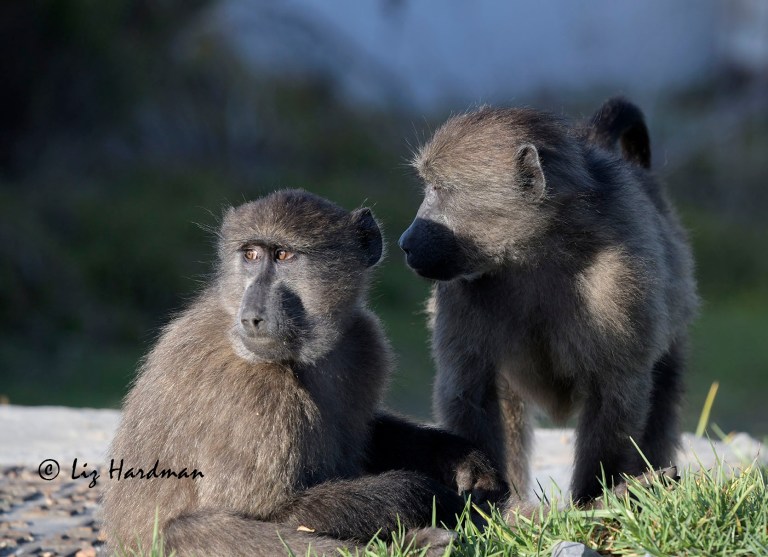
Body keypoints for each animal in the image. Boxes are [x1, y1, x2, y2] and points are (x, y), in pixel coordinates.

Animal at [101, 190, 503, 556]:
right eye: (250, 255)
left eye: (283, 255)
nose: (252, 317)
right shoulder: (255, 397)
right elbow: (270, 513)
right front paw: (429, 496)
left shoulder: (364, 343)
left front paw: (460, 457)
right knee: (190, 531)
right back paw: (416, 547)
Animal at [398, 98, 698, 505]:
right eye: (429, 186)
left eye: (441, 188)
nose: (406, 243)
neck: (535, 252)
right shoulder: (462, 289)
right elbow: (469, 390)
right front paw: (486, 494)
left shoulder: (621, 280)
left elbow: (615, 391)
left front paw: (594, 498)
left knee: (664, 387)